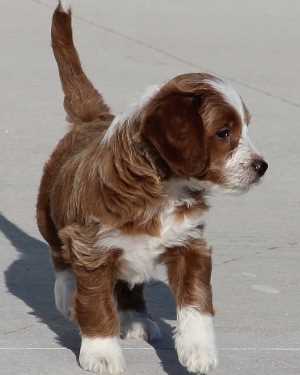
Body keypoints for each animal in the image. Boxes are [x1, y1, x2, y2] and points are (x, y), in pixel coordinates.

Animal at [36, 1, 268, 374]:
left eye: (244, 127)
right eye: (224, 133)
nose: (262, 166)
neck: (164, 187)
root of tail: (92, 119)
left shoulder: (191, 245)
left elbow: (197, 303)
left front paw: (199, 351)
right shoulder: (92, 247)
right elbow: (97, 304)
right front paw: (101, 353)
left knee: (130, 283)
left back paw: (135, 319)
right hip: (47, 208)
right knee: (58, 252)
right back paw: (67, 293)